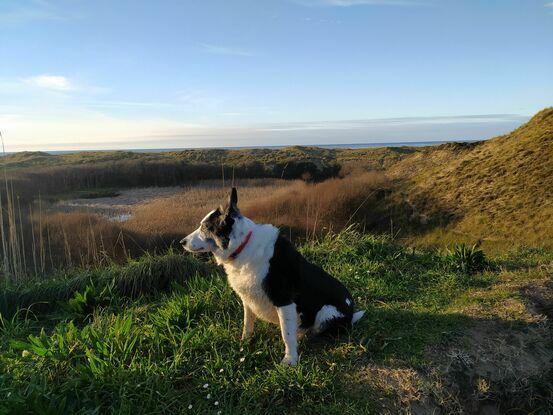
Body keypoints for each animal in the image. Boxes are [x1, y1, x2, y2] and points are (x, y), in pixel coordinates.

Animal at [179, 188, 364, 368]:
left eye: (205, 227)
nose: (182, 242)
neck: (242, 246)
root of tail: (351, 315)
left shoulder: (284, 300)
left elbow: (286, 334)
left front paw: (290, 360)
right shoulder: (248, 298)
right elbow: (247, 324)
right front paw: (244, 343)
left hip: (326, 312)